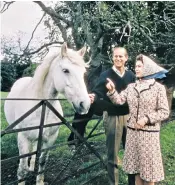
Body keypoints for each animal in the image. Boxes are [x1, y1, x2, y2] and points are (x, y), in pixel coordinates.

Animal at [4, 42, 90, 184]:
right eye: (65, 70)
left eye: (83, 72)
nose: (85, 105)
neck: (43, 107)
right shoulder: (23, 138)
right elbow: (22, 169)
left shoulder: (50, 139)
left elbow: (43, 162)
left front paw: (39, 180)